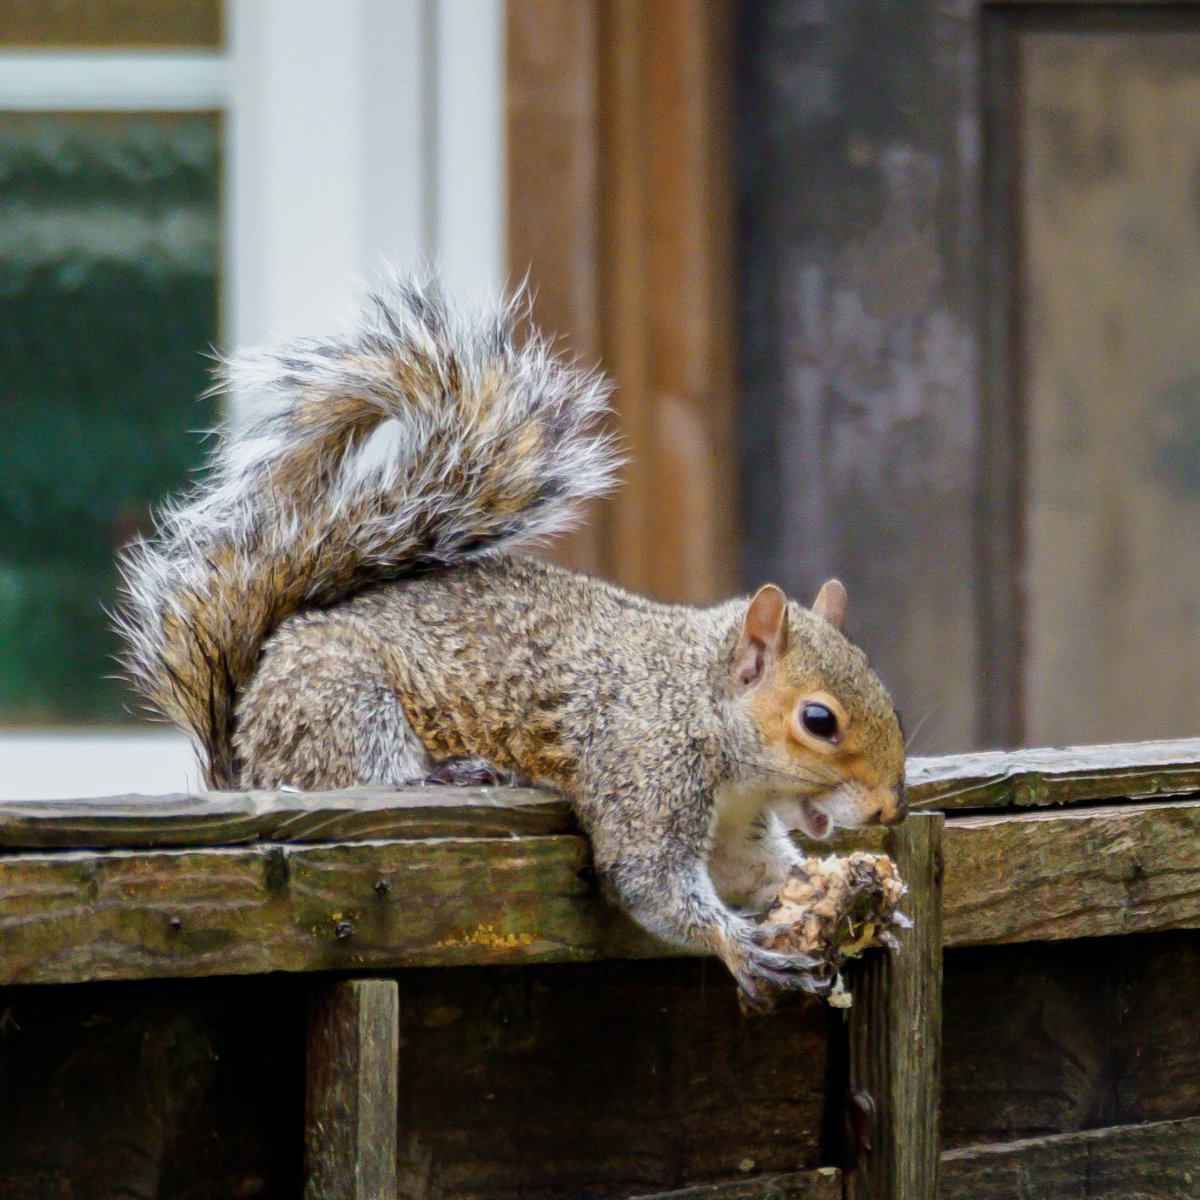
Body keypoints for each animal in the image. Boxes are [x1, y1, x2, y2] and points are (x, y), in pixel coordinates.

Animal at [117, 276, 902, 1008]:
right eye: (819, 721)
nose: (888, 812)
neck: (700, 705)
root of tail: (244, 746)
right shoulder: (644, 764)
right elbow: (649, 879)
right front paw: (741, 947)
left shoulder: (735, 824)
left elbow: (751, 872)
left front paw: (850, 897)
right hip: (340, 697)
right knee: (360, 768)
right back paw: (443, 774)